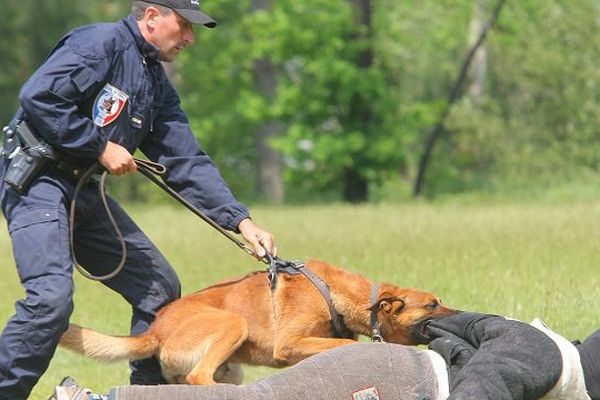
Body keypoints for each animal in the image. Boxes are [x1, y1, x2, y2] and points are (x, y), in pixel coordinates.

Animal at [62, 260, 454, 384]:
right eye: (433, 304)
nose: (462, 311)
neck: (335, 293)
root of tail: (155, 331)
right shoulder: (290, 344)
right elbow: (342, 345)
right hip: (233, 323)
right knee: (198, 377)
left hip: (231, 366)